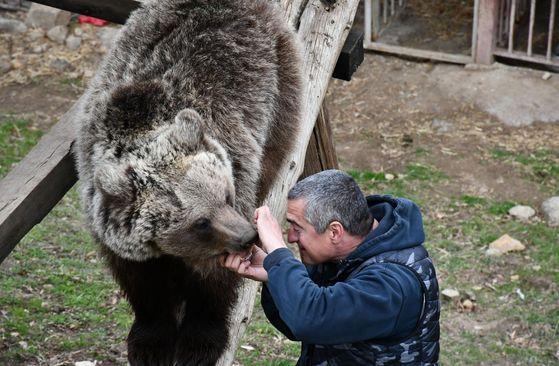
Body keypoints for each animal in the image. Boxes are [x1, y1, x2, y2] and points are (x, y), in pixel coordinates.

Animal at [75, 1, 302, 364]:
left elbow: (213, 285)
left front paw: (201, 342)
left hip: (279, 81)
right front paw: (149, 342)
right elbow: (142, 285)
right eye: (201, 222)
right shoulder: (114, 231)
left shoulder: (236, 160)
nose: (248, 236)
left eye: (227, 195)